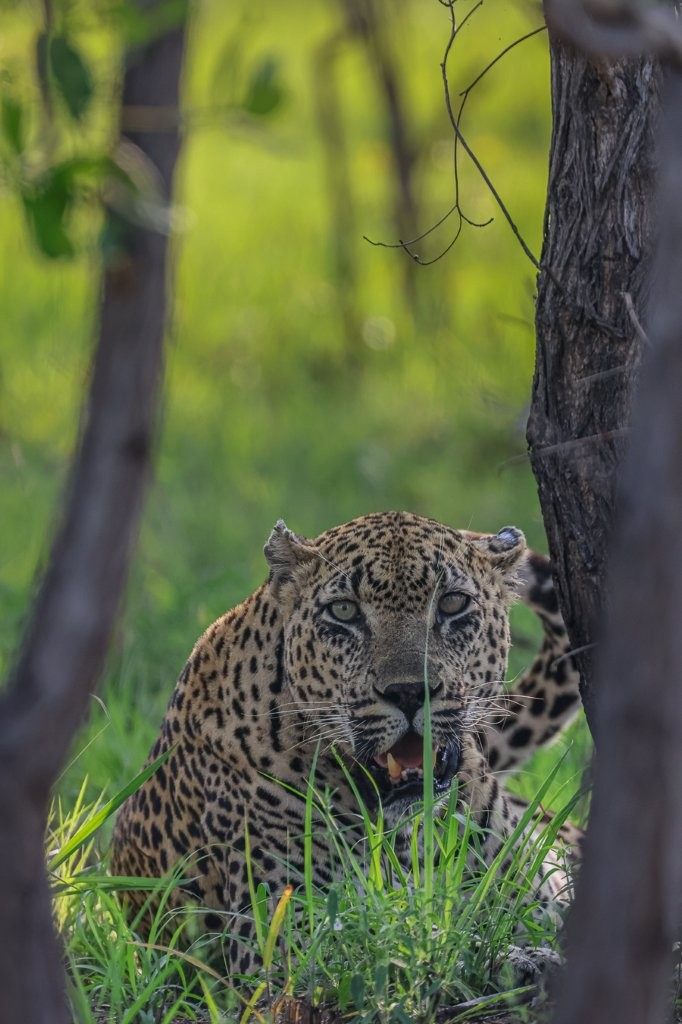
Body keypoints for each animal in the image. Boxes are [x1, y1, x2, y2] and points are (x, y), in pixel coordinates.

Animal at [111, 511, 583, 973]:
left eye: (452, 603)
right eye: (344, 611)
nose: (409, 692)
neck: (409, 834)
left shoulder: (535, 905)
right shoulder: (284, 936)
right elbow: (401, 941)